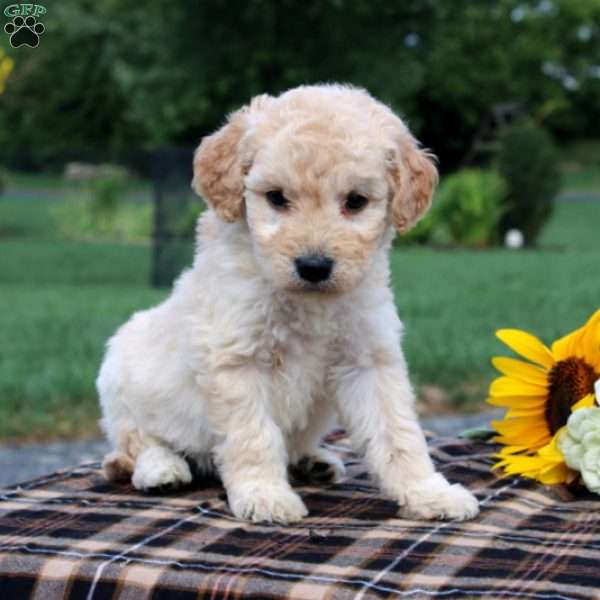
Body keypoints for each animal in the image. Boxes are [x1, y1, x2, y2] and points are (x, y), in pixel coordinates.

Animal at [99, 84, 482, 524]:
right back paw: (162, 469)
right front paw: (265, 496)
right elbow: (253, 436)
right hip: (119, 379)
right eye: (277, 198)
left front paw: (429, 493)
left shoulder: (370, 359)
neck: (310, 304)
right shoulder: (236, 361)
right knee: (134, 444)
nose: (313, 266)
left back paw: (313, 462)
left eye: (355, 201)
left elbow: (398, 432)